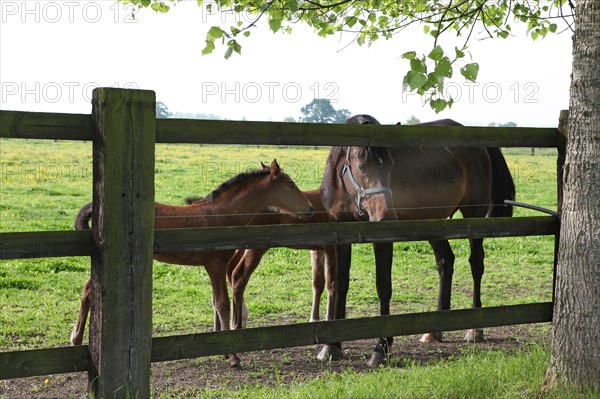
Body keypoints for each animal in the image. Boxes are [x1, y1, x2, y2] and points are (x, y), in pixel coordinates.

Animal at [70, 160, 314, 368]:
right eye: (291, 185)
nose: (310, 209)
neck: (221, 214)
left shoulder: (214, 267)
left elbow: (216, 303)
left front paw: (224, 352)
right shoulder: (215, 265)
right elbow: (222, 304)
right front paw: (233, 356)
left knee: (87, 289)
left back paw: (76, 339)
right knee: (90, 289)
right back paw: (76, 339)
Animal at [318, 114, 516, 368]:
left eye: (391, 165)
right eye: (362, 166)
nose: (386, 215)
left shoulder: (381, 238)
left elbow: (383, 286)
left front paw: (381, 348)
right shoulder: (341, 233)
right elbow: (340, 284)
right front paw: (332, 346)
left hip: (474, 215)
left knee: (476, 264)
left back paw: (475, 329)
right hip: (433, 222)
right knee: (446, 262)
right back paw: (434, 331)